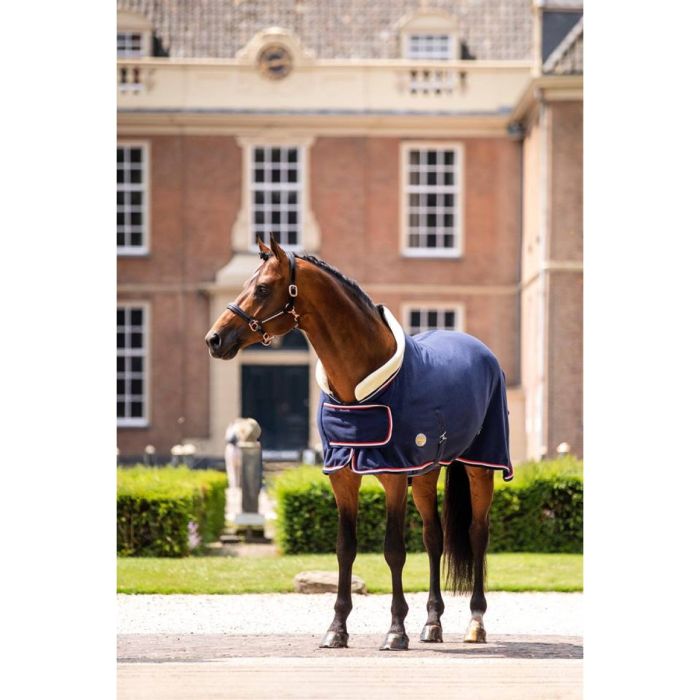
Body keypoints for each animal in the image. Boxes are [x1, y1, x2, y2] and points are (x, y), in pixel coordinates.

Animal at [205, 236, 512, 650]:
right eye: (245, 284)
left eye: (263, 288)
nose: (214, 339)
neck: (360, 382)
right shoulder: (343, 475)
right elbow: (345, 549)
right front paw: (337, 628)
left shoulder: (394, 474)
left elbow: (393, 550)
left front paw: (395, 631)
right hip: (427, 473)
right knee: (434, 538)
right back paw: (432, 624)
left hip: (481, 466)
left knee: (478, 534)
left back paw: (475, 622)